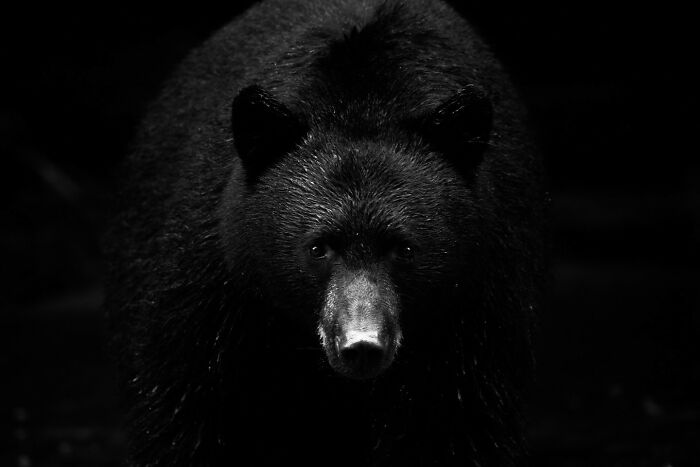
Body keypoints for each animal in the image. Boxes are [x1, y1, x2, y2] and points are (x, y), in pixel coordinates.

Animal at [104, 0, 544, 465]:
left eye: (404, 248)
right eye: (318, 247)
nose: (362, 345)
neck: (362, 100)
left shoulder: (476, 313)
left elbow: (459, 427)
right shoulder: (211, 292)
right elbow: (187, 415)